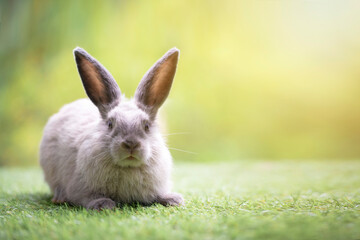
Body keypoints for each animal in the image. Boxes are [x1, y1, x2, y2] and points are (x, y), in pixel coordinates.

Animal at [40, 47, 183, 210]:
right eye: (110, 124)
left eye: (146, 126)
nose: (131, 144)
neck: (128, 167)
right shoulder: (80, 189)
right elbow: (89, 198)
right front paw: (103, 205)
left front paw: (174, 200)